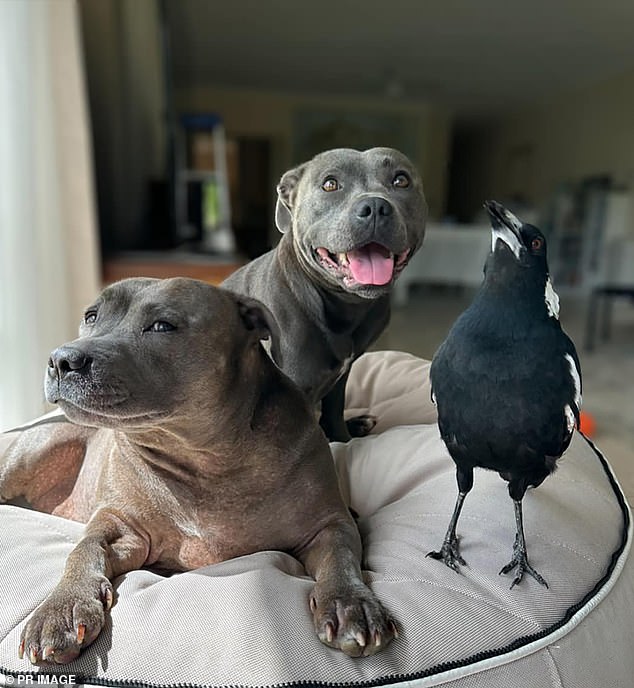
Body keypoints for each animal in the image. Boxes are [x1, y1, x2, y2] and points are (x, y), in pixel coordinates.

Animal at [0, 278, 396, 668]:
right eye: (91, 316)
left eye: (162, 326)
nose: (62, 359)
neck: (203, 458)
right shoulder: (118, 524)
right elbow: (84, 550)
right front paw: (61, 608)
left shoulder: (327, 522)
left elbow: (341, 554)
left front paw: (350, 604)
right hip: (31, 452)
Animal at [222, 148, 424, 444]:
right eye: (330, 184)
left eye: (401, 180)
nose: (375, 206)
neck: (344, 304)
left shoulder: (340, 378)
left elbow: (333, 413)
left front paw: (344, 439)